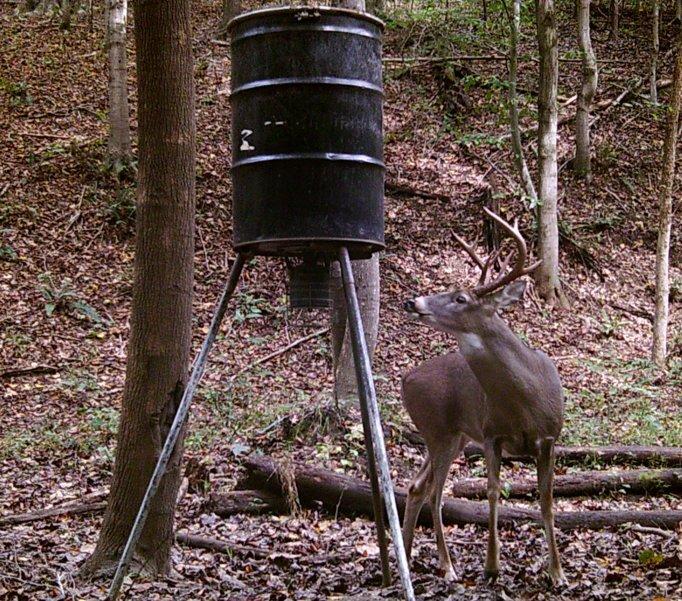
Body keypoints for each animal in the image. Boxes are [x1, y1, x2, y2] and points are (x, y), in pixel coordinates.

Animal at [401, 207, 566, 586]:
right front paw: (492, 567)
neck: (526, 399)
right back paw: (447, 566)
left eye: (460, 298)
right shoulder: (492, 433)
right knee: (434, 493)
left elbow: (547, 499)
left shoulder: (550, 436)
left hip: (453, 436)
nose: (412, 301)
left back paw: (409, 555)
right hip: (438, 431)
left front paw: (557, 572)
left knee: (418, 486)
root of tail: (405, 379)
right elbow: (492, 492)